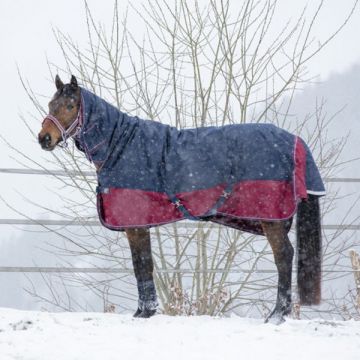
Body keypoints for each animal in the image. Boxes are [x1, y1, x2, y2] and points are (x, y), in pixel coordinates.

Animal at [38, 75, 324, 324]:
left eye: (70, 105)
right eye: (51, 104)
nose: (44, 139)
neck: (121, 145)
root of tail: (295, 141)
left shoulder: (136, 224)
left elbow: (142, 265)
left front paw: (145, 312)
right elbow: (142, 264)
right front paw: (143, 311)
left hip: (272, 220)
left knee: (284, 256)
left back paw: (277, 315)